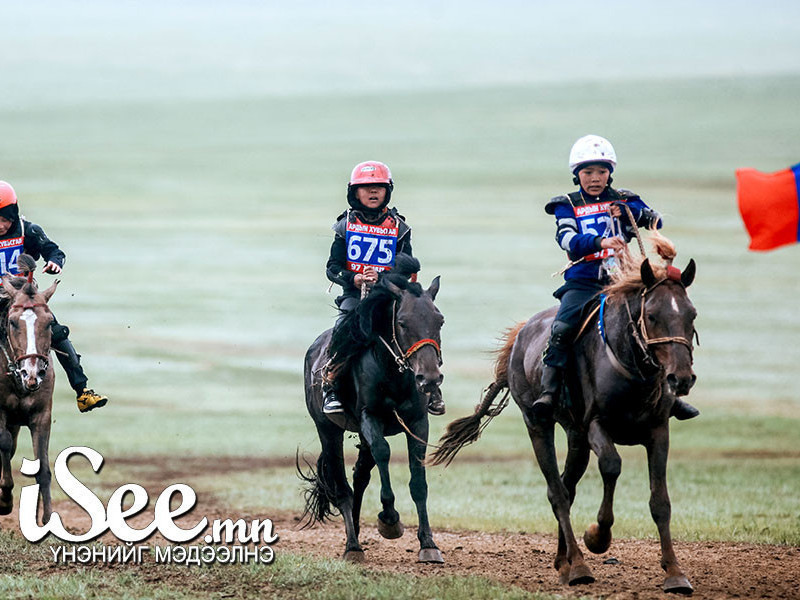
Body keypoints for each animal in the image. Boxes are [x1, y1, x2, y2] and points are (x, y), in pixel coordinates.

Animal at [432, 250, 700, 596]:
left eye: (691, 315)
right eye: (652, 315)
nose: (681, 379)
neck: (631, 368)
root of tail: (520, 335)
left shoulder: (657, 431)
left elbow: (660, 502)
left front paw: (675, 573)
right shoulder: (596, 425)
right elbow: (611, 466)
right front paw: (597, 536)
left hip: (575, 438)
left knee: (566, 487)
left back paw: (565, 562)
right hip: (539, 425)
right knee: (557, 491)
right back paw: (579, 566)